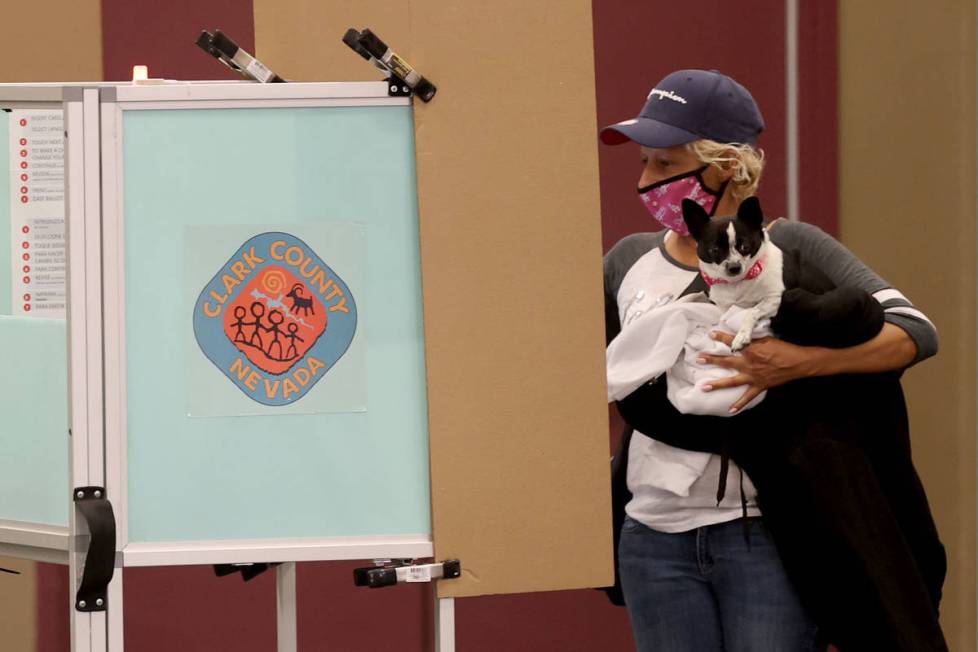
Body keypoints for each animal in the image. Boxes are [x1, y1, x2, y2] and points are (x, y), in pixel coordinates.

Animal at [684, 196, 780, 352]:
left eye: (745, 247)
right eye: (714, 250)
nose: (734, 267)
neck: (736, 283)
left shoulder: (774, 298)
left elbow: (751, 311)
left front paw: (741, 337)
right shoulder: (722, 306)